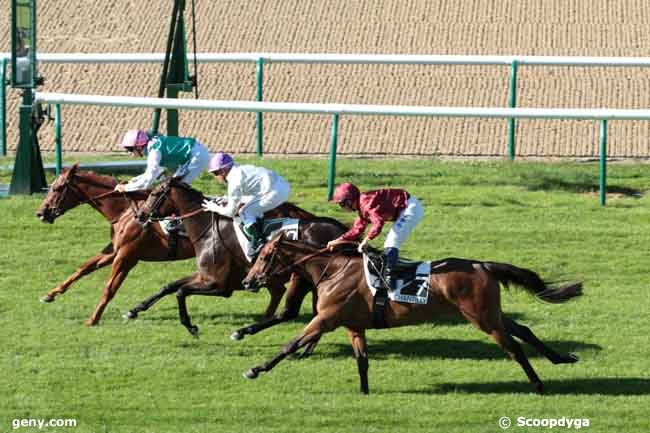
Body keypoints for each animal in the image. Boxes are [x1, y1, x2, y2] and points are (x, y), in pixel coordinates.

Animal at [36, 164, 316, 326]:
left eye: (57, 188)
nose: (41, 213)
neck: (127, 210)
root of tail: (299, 213)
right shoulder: (114, 250)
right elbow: (82, 269)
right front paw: (50, 294)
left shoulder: (127, 255)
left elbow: (109, 287)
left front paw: (94, 318)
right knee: (277, 289)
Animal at [135, 176, 350, 338]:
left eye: (154, 194)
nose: (140, 215)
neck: (207, 229)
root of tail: (341, 229)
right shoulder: (204, 276)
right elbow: (169, 286)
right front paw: (136, 309)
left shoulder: (220, 285)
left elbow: (181, 292)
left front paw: (191, 326)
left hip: (302, 278)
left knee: (290, 307)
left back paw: (247, 329)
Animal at [239, 221, 584, 394]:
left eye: (264, 256)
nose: (247, 280)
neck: (332, 270)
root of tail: (482, 264)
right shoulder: (354, 325)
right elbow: (362, 361)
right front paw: (364, 393)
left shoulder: (326, 318)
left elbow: (290, 344)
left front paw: (255, 369)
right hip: (489, 313)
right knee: (523, 329)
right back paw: (561, 358)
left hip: (482, 318)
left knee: (513, 348)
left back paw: (538, 384)